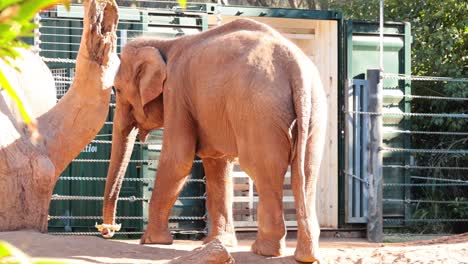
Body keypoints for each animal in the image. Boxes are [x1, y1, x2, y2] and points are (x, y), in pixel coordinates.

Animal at [98, 18, 326, 262]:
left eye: (117, 89)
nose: (110, 230)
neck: (164, 43)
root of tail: (296, 68)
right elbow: (218, 164)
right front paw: (218, 242)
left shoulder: (176, 93)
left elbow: (178, 160)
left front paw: (151, 241)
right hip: (313, 111)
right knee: (306, 172)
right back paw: (306, 255)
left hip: (260, 113)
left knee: (264, 169)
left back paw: (264, 250)